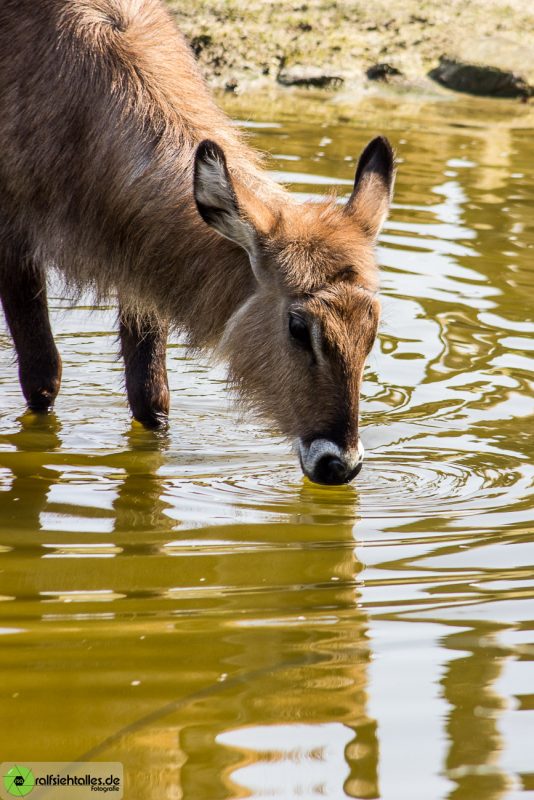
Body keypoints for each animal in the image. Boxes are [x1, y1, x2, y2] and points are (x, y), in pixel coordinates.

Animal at [0, 0, 394, 484]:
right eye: (299, 327)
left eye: (372, 325)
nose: (341, 464)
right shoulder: (13, 244)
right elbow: (42, 375)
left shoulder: (139, 269)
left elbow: (150, 395)